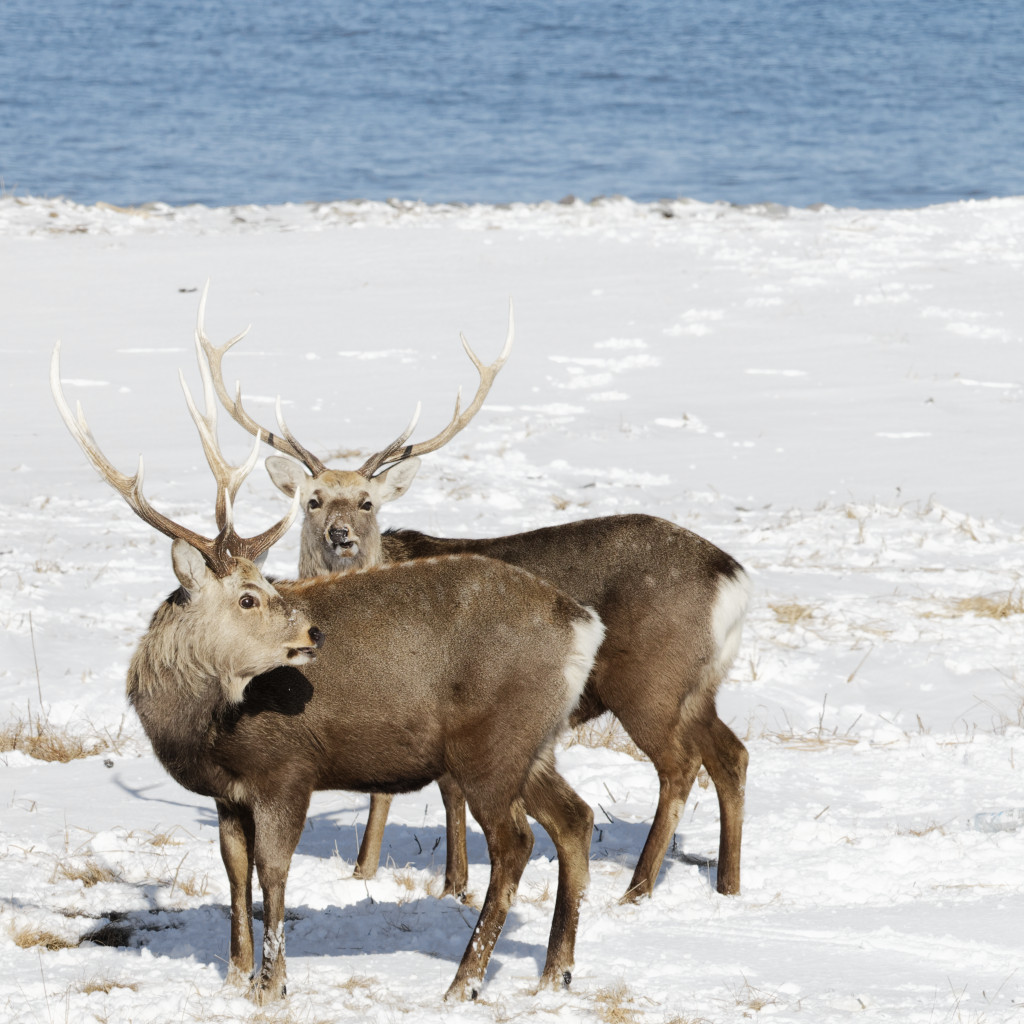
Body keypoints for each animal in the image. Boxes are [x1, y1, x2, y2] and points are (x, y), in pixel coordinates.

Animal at [49, 339, 598, 1003]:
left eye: (267, 585)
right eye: (249, 597)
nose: (313, 633)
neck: (204, 724)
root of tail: (582, 625)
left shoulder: (288, 768)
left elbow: (273, 873)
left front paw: (272, 985)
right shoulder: (227, 792)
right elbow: (234, 874)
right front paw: (234, 975)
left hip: (493, 740)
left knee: (517, 843)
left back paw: (463, 983)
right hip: (536, 742)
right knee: (575, 819)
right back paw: (555, 972)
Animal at [195, 290, 753, 905]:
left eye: (367, 502)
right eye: (313, 500)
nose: (340, 535)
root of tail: (732, 575)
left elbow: (430, 789)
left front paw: (420, 878)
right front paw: (416, 876)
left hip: (651, 681)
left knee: (680, 766)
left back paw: (637, 888)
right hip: (700, 683)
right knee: (731, 754)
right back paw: (728, 883)